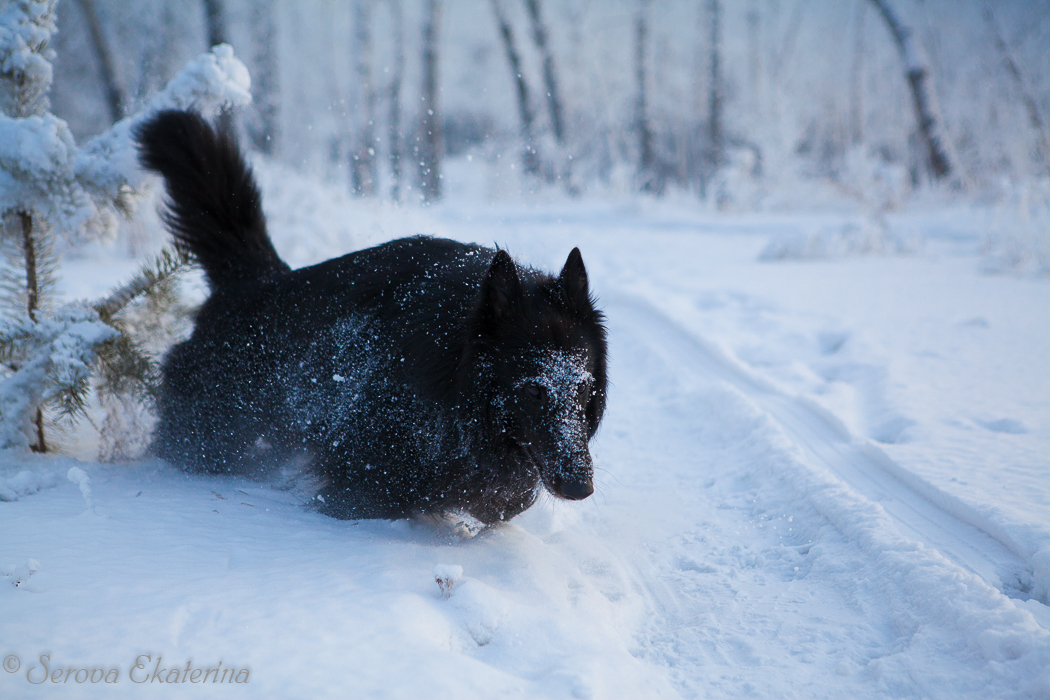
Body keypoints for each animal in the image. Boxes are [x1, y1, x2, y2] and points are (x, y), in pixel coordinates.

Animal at [135, 110, 609, 524]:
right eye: (533, 391)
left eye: (583, 390)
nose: (580, 488)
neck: (448, 371)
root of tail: (255, 280)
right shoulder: (359, 477)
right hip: (210, 436)